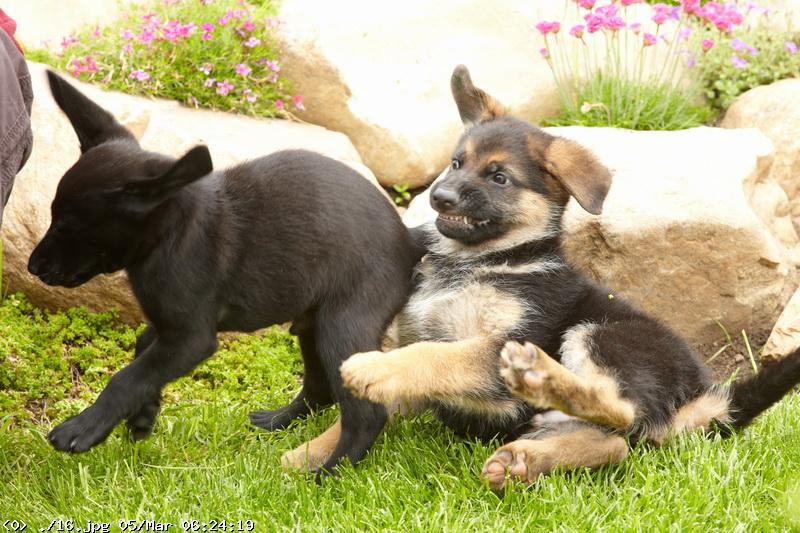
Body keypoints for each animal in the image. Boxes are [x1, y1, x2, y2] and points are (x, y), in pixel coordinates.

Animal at [27, 71, 423, 473]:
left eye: (68, 226)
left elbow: (128, 376)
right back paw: (279, 422)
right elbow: (142, 353)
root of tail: (407, 238)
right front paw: (144, 414)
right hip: (314, 325)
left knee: (367, 413)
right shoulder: (169, 324)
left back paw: (329, 472)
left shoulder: (191, 337)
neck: (172, 232)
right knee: (321, 387)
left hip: (342, 324)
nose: (32, 266)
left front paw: (85, 427)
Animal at [330, 65, 800, 490]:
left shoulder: (499, 345)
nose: (439, 196)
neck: (487, 260)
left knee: (620, 410)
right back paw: (524, 462)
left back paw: (545, 380)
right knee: (615, 443)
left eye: (499, 178)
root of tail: (702, 397)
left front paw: (374, 368)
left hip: (599, 334)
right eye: (456, 163)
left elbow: (435, 356)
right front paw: (314, 457)